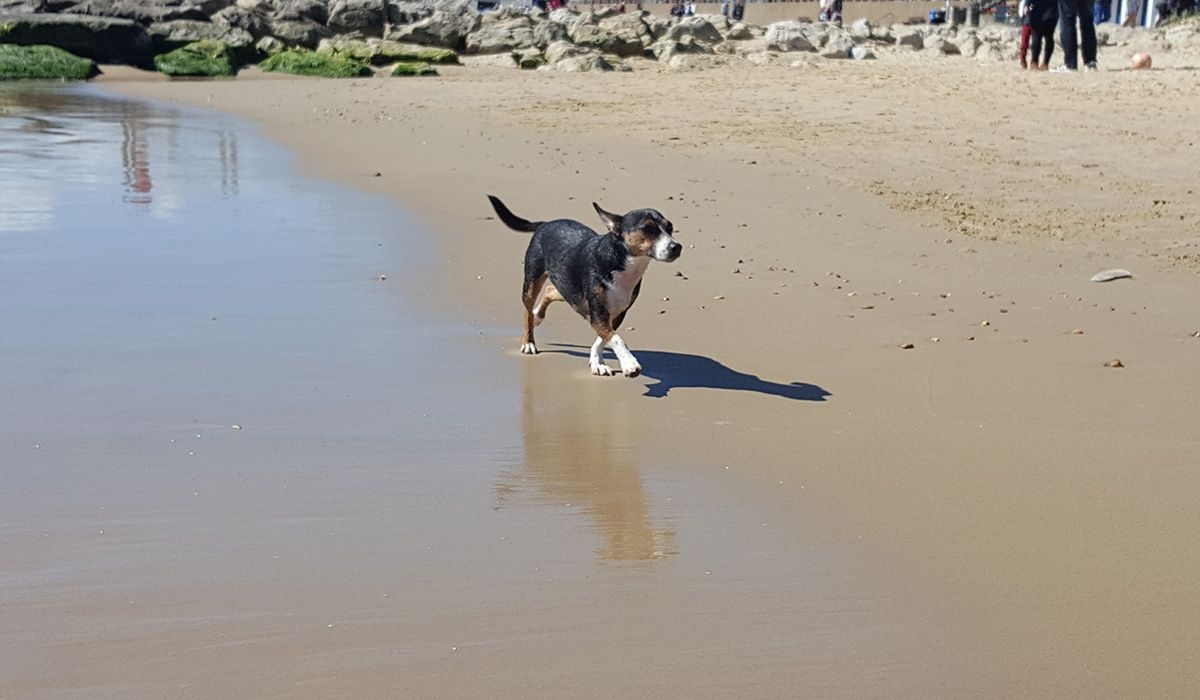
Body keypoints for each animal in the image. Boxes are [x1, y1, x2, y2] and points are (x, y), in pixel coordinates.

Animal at [482, 194, 681, 377]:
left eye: (670, 227)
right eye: (648, 228)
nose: (676, 247)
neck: (621, 264)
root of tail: (545, 224)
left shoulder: (615, 314)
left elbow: (603, 339)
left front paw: (597, 362)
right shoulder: (597, 313)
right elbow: (616, 339)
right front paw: (629, 363)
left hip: (569, 289)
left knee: (550, 291)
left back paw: (538, 315)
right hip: (533, 282)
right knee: (527, 311)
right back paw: (529, 342)